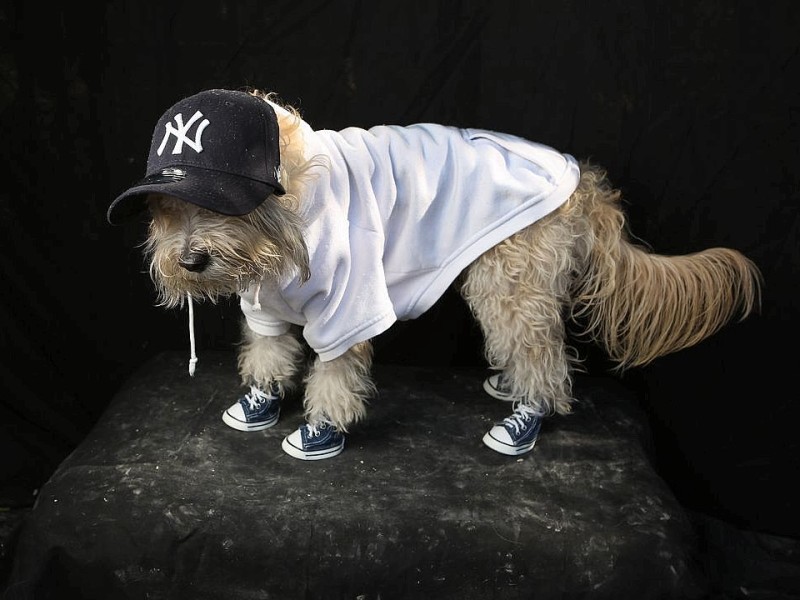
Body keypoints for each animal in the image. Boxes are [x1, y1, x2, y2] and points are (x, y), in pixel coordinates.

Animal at [108, 89, 764, 462]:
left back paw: (526, 415)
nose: (190, 262)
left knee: (542, 350)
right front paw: (259, 401)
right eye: (165, 209)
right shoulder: (263, 303)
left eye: (219, 207)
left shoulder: (350, 306)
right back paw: (511, 385)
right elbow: (269, 351)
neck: (289, 206)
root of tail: (584, 182)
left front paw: (320, 429)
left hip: (510, 280)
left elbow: (334, 371)